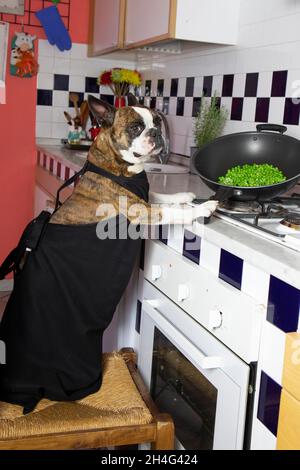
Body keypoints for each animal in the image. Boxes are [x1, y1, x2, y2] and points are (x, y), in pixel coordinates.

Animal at [50, 96, 217, 226]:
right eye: (135, 128)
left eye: (158, 122)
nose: (156, 132)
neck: (122, 165)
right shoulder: (142, 209)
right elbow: (172, 212)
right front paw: (202, 208)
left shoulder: (144, 195)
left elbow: (161, 195)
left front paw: (183, 196)